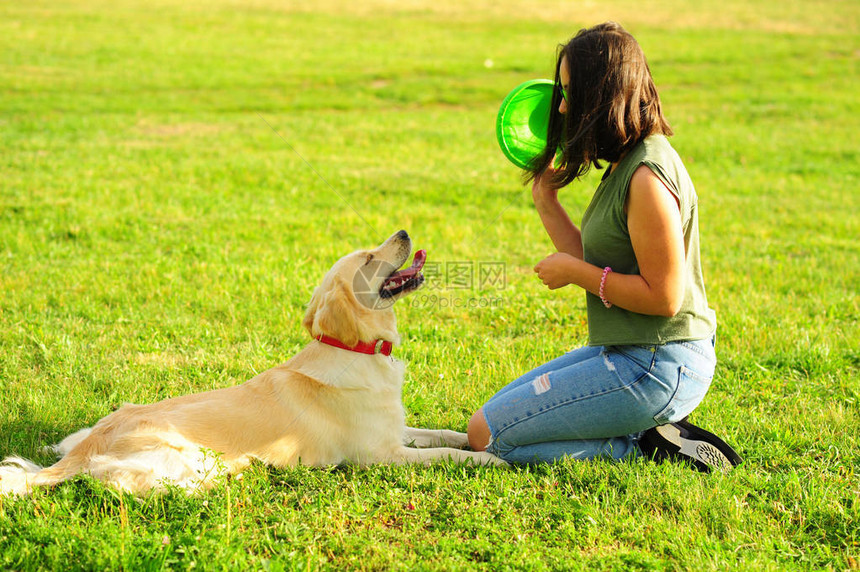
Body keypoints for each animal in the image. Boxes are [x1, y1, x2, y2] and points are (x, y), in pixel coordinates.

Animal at [0, 229, 504, 496]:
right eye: (368, 259)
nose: (402, 233)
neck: (355, 351)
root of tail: (83, 450)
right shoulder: (381, 456)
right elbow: (446, 454)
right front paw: (490, 459)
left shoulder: (396, 430)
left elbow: (444, 435)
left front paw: (476, 439)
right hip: (187, 460)